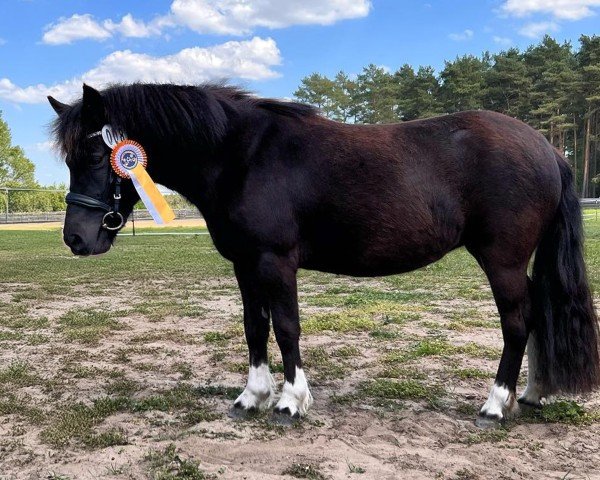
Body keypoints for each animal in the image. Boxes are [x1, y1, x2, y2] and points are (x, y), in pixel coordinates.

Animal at [48, 82, 600, 424]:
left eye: (96, 153)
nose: (76, 239)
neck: (242, 155)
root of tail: (547, 148)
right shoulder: (245, 264)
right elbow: (255, 326)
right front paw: (252, 396)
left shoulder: (276, 261)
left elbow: (286, 326)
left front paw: (291, 401)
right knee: (538, 312)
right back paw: (532, 393)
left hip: (501, 260)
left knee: (517, 322)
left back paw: (495, 404)